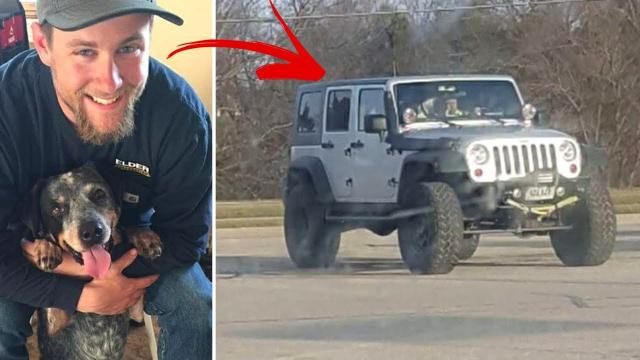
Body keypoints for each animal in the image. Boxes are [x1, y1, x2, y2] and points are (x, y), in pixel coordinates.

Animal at [21, 164, 164, 360]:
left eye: (98, 194)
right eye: (56, 209)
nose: (91, 231)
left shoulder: (137, 309)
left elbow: (127, 227)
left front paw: (145, 237)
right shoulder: (53, 321)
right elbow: (42, 239)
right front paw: (45, 248)